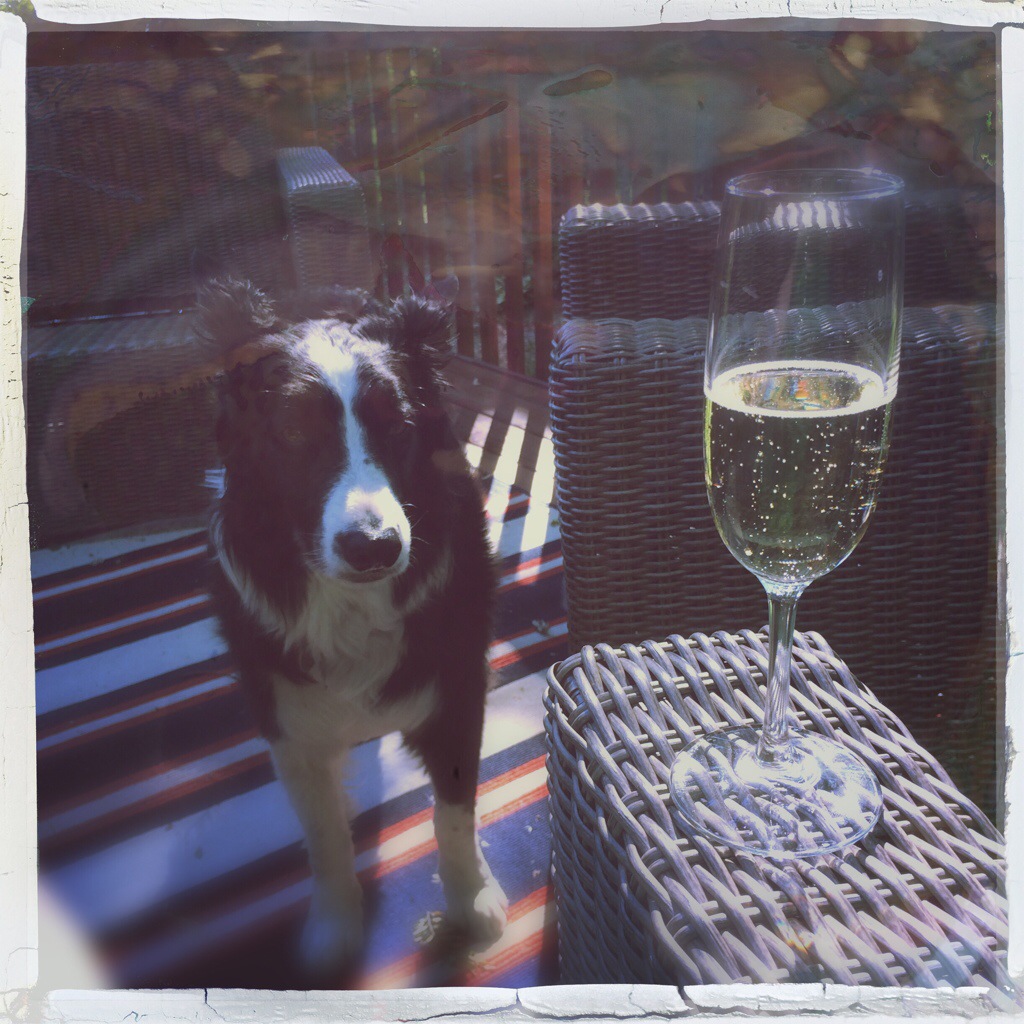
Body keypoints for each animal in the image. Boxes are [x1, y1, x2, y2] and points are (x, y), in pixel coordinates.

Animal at [196, 278, 508, 973]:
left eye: (400, 428)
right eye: (291, 431)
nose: (374, 549)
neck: (352, 603)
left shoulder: (458, 690)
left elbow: (454, 811)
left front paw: (472, 898)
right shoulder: (287, 721)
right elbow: (324, 836)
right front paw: (334, 928)